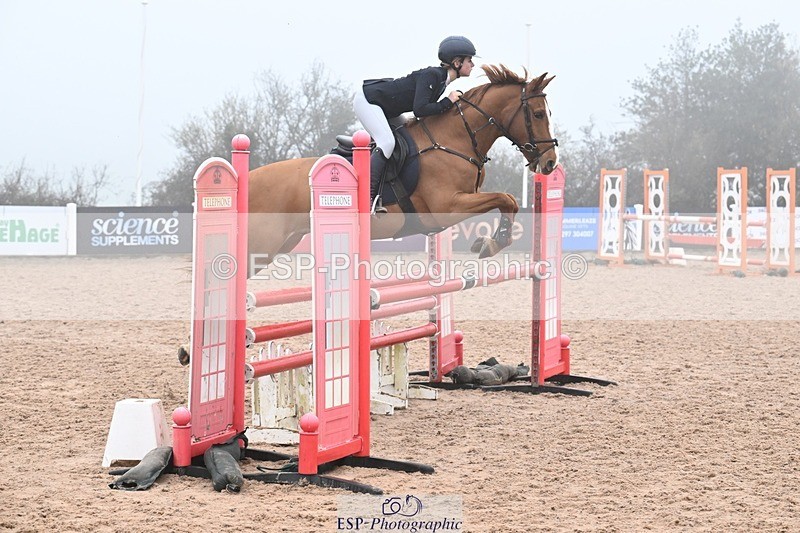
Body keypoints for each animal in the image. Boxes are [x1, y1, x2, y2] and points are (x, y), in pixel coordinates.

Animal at [247, 65, 558, 264]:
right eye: (539, 114)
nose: (551, 162)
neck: (455, 139)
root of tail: (248, 180)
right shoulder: (447, 207)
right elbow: (506, 198)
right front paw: (493, 243)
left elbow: (509, 201)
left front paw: (490, 241)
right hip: (263, 244)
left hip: (281, 243)